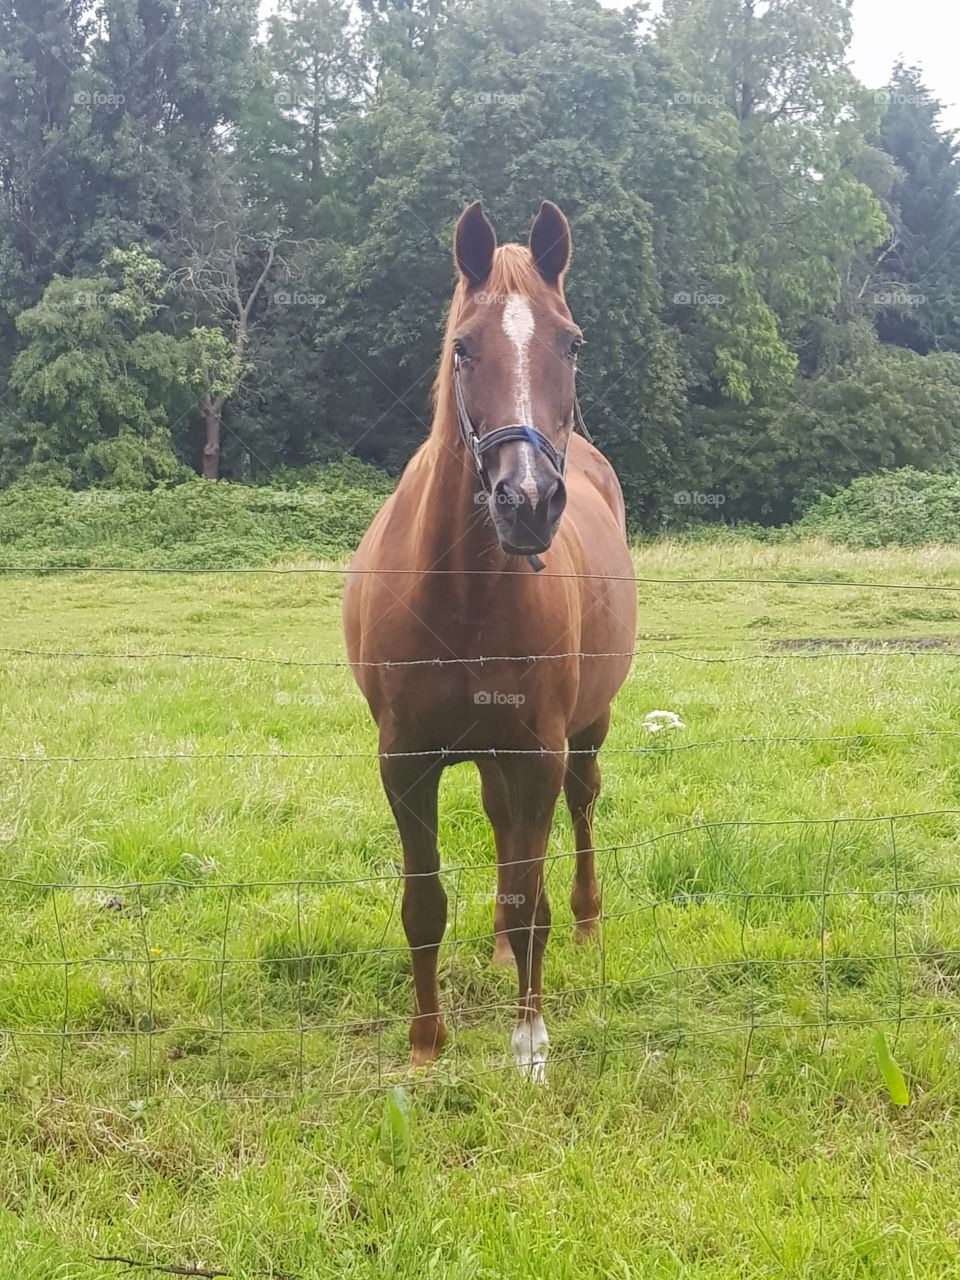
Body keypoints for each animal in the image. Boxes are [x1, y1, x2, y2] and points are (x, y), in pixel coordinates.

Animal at [342, 201, 636, 1080]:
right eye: (463, 346)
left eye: (571, 343)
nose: (528, 501)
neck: (464, 593)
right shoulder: (405, 760)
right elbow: (424, 903)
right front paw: (426, 1044)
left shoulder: (537, 749)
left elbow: (526, 894)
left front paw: (528, 1041)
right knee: (505, 830)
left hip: (583, 732)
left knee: (576, 813)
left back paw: (582, 922)